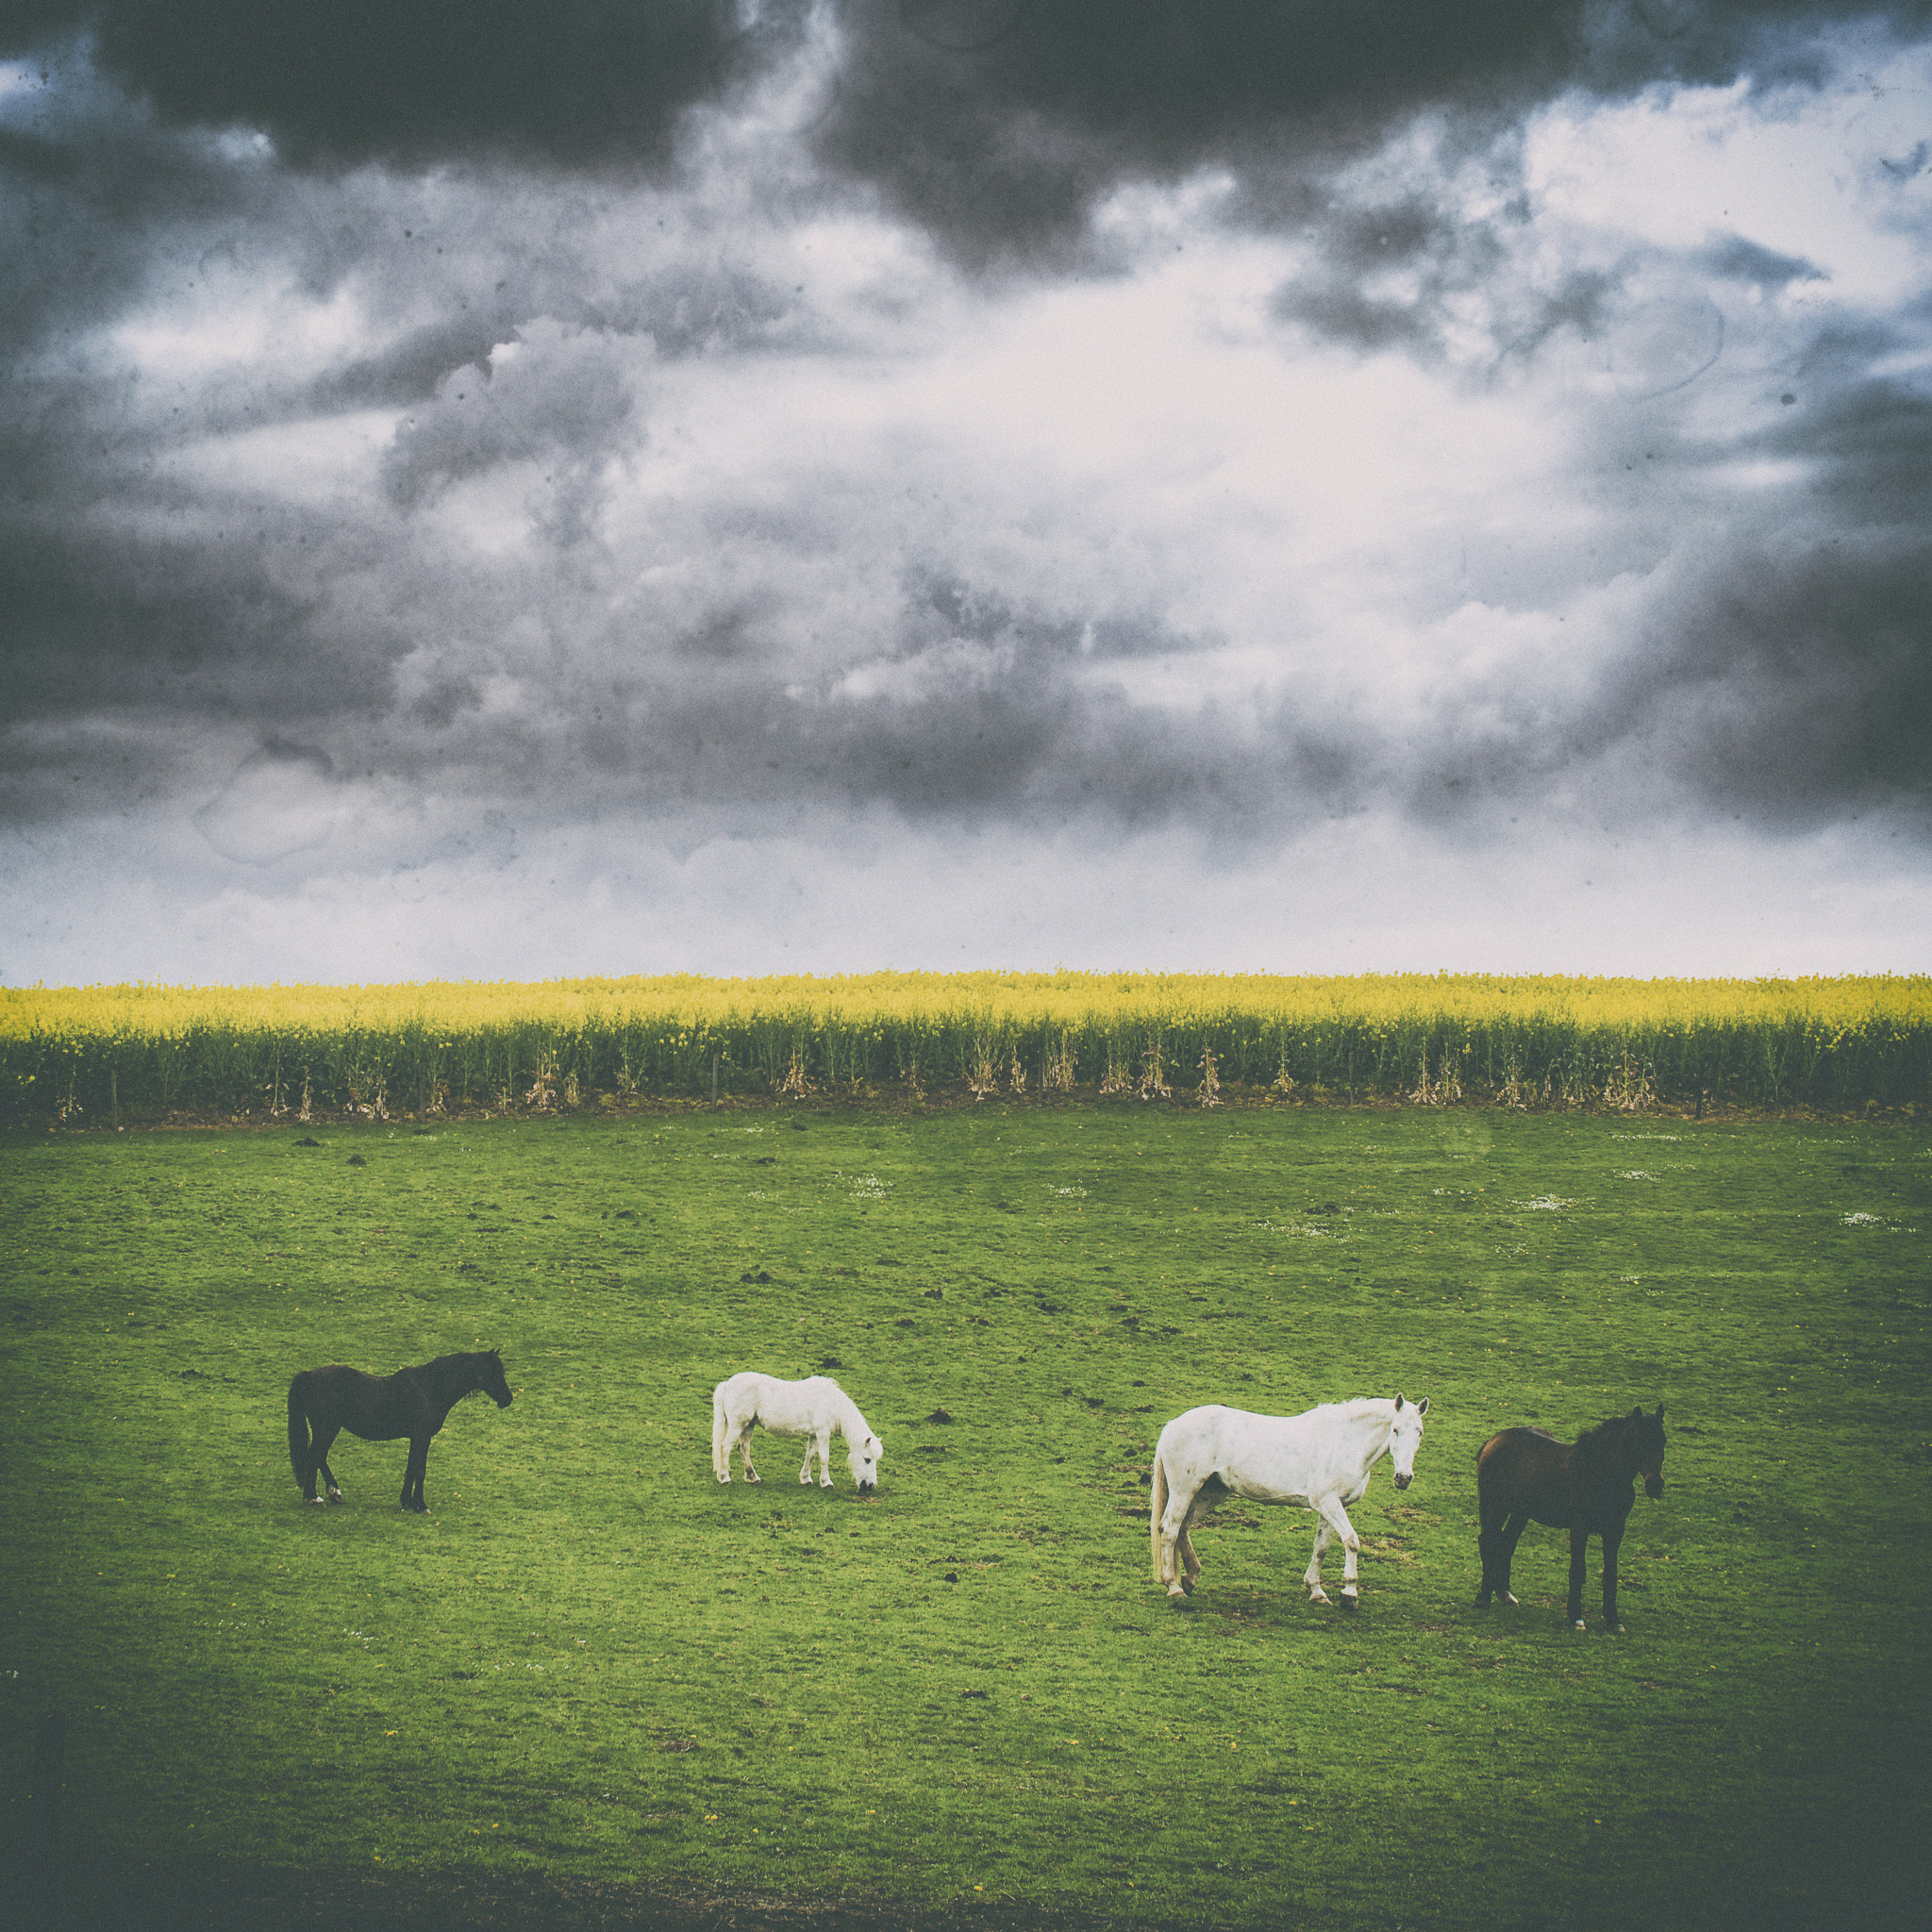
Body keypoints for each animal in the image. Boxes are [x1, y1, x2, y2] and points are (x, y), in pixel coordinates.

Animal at [286, 1344, 513, 1507]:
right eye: (493, 1372)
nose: (508, 1398)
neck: (431, 1387)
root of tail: (308, 1375)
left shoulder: (417, 1437)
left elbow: (411, 1467)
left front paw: (407, 1501)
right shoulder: (422, 1436)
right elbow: (419, 1469)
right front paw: (420, 1505)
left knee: (319, 1457)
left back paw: (333, 1493)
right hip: (327, 1428)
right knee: (314, 1456)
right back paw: (314, 1497)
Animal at [714, 1375, 884, 1491]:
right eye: (867, 1459)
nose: (870, 1485)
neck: (831, 1403)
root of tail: (727, 1385)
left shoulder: (814, 1435)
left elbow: (810, 1456)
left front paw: (805, 1478)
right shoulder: (823, 1434)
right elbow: (824, 1458)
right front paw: (826, 1482)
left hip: (748, 1425)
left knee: (743, 1449)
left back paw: (753, 1477)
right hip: (737, 1426)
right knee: (726, 1447)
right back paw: (724, 1477)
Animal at [1143, 1398, 1437, 1607]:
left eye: (1420, 1432)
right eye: (1395, 1430)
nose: (1403, 1478)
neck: (1343, 1442)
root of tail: (1173, 1425)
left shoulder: (1331, 1506)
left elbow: (1321, 1547)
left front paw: (1317, 1591)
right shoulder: (1328, 1503)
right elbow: (1352, 1541)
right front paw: (1349, 1593)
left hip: (1210, 1492)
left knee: (1183, 1527)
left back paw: (1190, 1578)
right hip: (1184, 1490)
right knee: (1169, 1529)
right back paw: (1174, 1587)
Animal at [1475, 1406, 1661, 1630]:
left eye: (1663, 1441)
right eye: (1640, 1441)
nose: (1656, 1486)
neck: (1600, 1472)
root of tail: (1493, 1440)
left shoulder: (1615, 1530)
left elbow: (1611, 1572)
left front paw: (1613, 1620)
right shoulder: (1580, 1527)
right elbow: (1578, 1570)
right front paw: (1576, 1618)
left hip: (1520, 1513)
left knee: (1506, 1544)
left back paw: (1505, 1594)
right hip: (1495, 1507)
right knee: (1487, 1542)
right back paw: (1483, 1598)